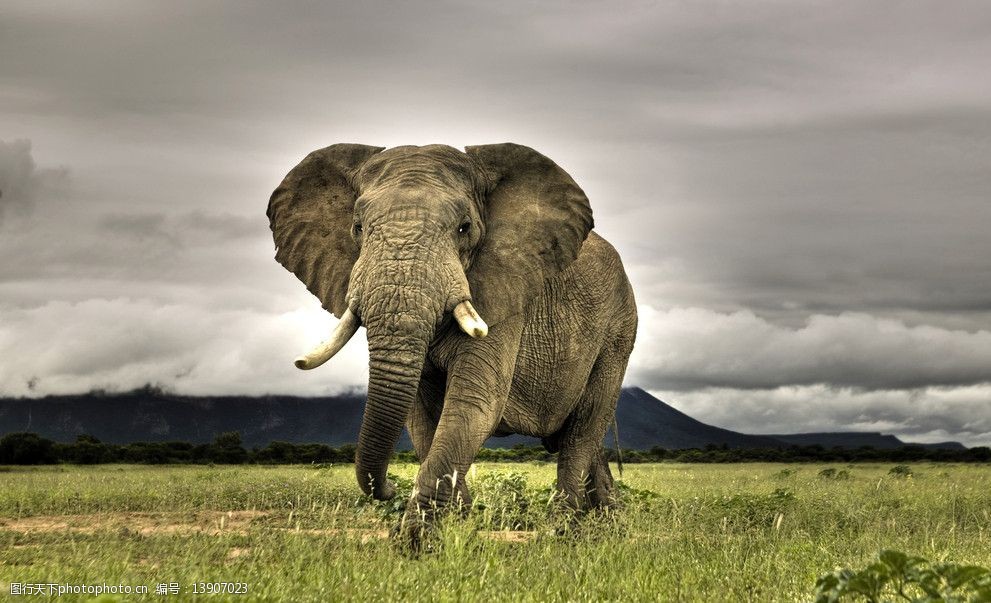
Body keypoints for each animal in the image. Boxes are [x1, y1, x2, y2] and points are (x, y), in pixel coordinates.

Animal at [268, 143, 640, 544]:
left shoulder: (503, 293)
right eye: (358, 228)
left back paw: (564, 530)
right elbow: (422, 416)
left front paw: (416, 542)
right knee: (581, 436)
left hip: (619, 332)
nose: (388, 489)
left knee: (582, 429)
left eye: (465, 228)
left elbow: (473, 402)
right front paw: (458, 526)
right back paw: (609, 521)